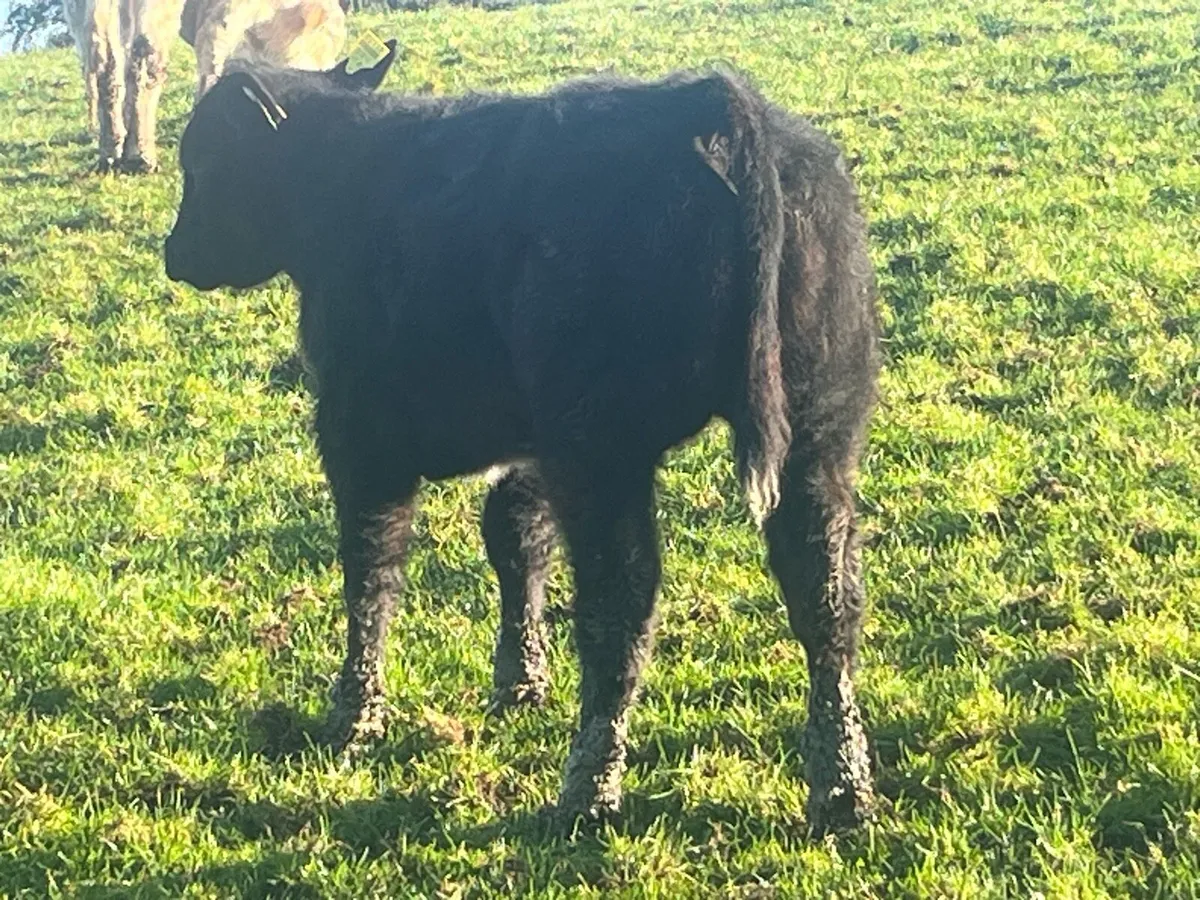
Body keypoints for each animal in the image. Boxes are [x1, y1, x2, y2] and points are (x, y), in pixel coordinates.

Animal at [163, 46, 882, 834]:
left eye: (206, 158)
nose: (175, 253)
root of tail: (708, 101)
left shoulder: (361, 434)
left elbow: (370, 569)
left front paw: (355, 715)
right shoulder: (530, 447)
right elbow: (515, 542)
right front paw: (519, 683)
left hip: (604, 452)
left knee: (620, 605)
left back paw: (587, 789)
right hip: (818, 435)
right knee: (827, 600)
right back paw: (842, 790)